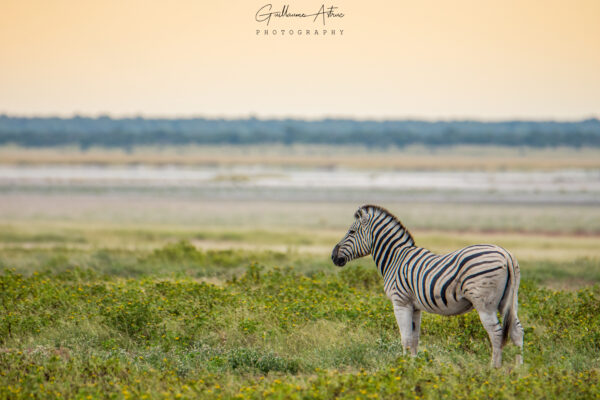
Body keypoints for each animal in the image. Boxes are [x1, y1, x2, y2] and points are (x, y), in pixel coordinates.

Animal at [330, 205, 524, 368]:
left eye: (351, 231)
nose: (333, 256)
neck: (395, 258)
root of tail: (506, 254)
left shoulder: (400, 302)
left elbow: (405, 338)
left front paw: (403, 366)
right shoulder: (415, 307)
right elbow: (414, 339)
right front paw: (414, 365)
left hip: (485, 304)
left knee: (497, 334)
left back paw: (494, 368)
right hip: (509, 300)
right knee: (517, 331)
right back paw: (518, 369)